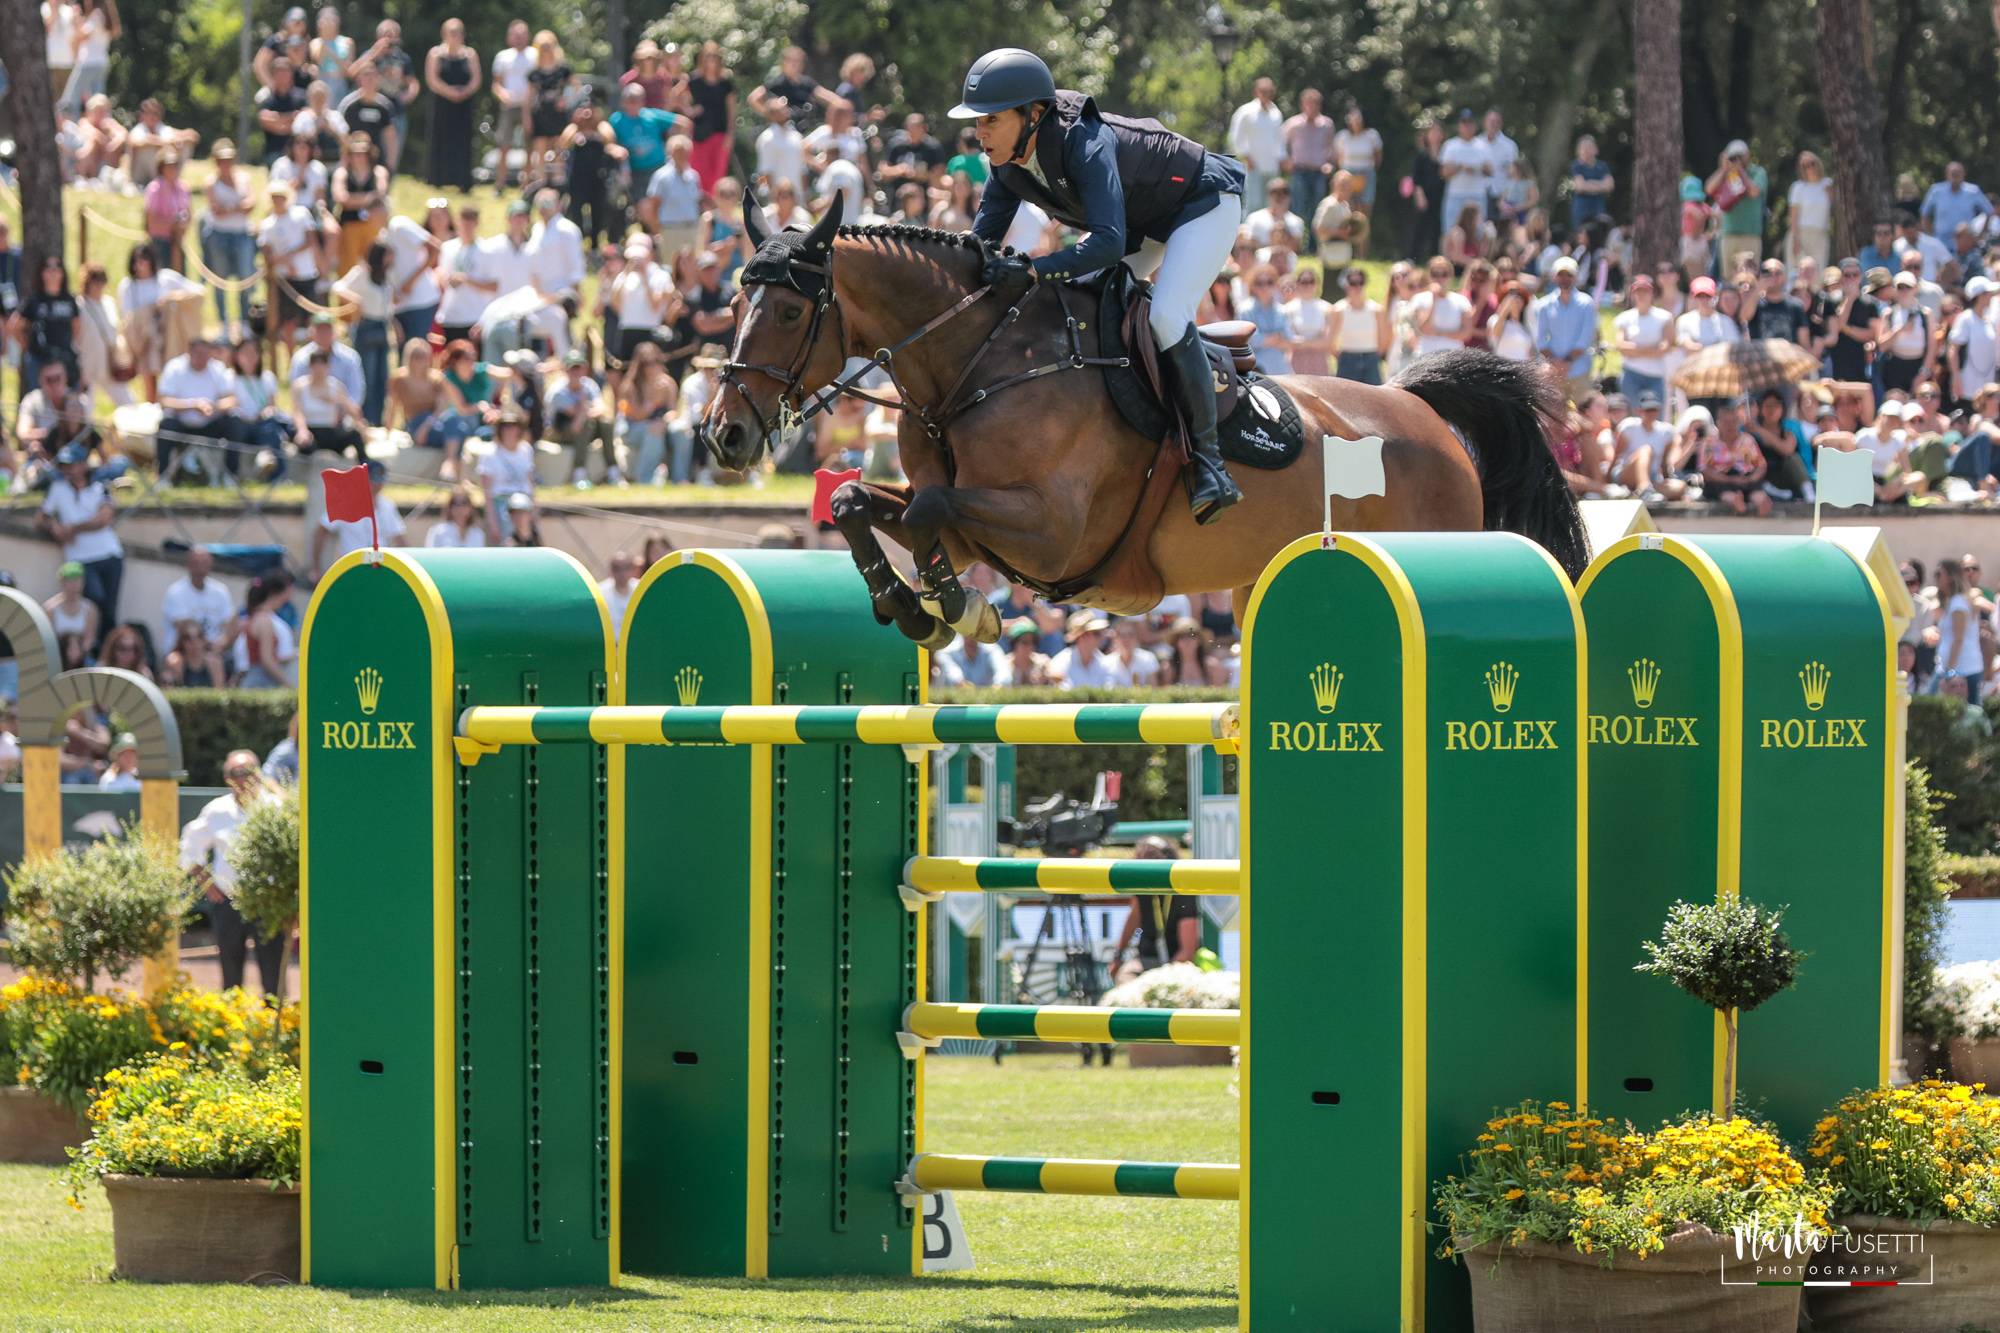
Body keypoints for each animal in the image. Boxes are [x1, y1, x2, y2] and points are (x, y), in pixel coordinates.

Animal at [704, 201, 1592, 648]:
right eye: (732, 303)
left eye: (789, 310)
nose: (723, 436)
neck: (976, 363)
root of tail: (1421, 411)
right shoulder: (977, 530)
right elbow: (861, 503)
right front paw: (910, 603)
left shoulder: (1049, 530)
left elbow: (924, 510)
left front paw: (956, 609)